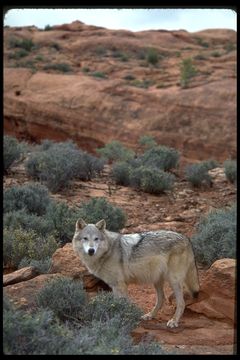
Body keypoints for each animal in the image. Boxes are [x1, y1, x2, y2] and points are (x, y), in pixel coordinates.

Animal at [72, 218, 200, 328]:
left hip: (173, 281)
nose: (91, 250)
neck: (108, 251)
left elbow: (121, 304)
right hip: (157, 280)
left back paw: (174, 321)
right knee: (161, 299)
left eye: (96, 239)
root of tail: (186, 238)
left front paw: (120, 318)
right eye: (85, 238)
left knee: (181, 303)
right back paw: (150, 315)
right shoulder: (115, 286)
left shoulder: (120, 285)